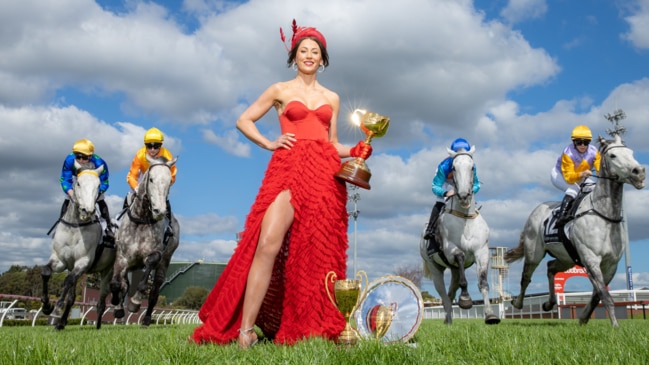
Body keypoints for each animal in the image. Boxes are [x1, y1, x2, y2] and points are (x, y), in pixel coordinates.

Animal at [41, 162, 115, 330]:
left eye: (98, 185)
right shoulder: (61, 261)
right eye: (79, 183)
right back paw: (61, 323)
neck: (75, 226)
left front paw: (55, 312)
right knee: (72, 295)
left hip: (107, 271)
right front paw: (47, 306)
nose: (87, 210)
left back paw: (98, 325)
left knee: (101, 300)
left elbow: (67, 281)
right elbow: (46, 272)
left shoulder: (83, 262)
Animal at [109, 155, 178, 326]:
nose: (159, 211)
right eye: (151, 179)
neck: (142, 219)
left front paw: (135, 302)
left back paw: (146, 319)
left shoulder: (155, 254)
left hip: (165, 262)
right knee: (125, 284)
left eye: (169, 181)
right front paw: (117, 306)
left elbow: (143, 282)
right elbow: (117, 284)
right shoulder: (122, 257)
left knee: (154, 291)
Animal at [420, 145, 502, 324]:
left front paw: (490, 315)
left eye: (472, 167)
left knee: (450, 293)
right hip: (434, 267)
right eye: (453, 168)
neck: (465, 218)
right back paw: (449, 319)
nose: (464, 196)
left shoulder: (482, 252)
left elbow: (483, 282)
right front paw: (465, 299)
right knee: (444, 295)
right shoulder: (451, 250)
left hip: (454, 271)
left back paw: (447, 319)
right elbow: (461, 256)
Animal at [506, 134, 644, 328]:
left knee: (550, 267)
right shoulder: (591, 259)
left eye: (631, 153)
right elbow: (605, 295)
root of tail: (537, 210)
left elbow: (597, 295)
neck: (603, 215)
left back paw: (549, 303)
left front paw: (583, 317)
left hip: (567, 258)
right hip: (534, 252)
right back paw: (518, 302)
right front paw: (615, 325)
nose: (639, 172)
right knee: (526, 276)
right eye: (613, 155)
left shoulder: (611, 265)